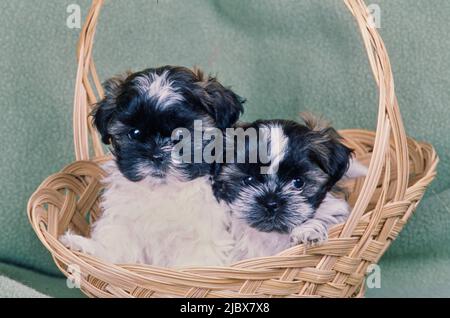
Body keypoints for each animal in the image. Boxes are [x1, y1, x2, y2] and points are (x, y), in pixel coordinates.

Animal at [60, 65, 244, 266]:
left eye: (181, 134)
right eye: (135, 133)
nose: (156, 155)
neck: (162, 190)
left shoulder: (203, 241)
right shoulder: (124, 224)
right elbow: (115, 247)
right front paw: (86, 248)